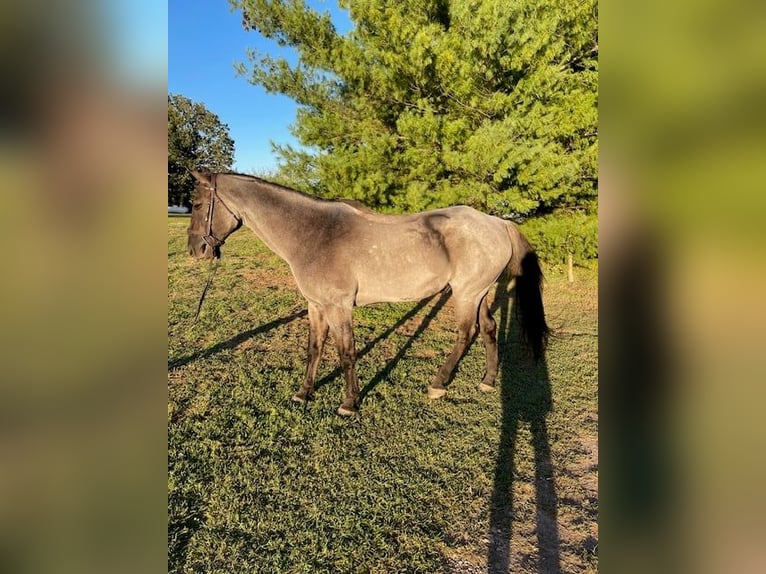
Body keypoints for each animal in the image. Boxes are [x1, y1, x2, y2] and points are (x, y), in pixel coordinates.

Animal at [186, 171, 549, 416]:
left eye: (197, 203)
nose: (195, 250)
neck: (314, 234)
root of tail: (497, 222)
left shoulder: (339, 307)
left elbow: (345, 352)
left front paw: (349, 402)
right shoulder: (315, 306)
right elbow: (314, 348)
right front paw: (304, 393)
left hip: (466, 294)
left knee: (466, 333)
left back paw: (438, 384)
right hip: (480, 293)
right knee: (488, 329)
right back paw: (488, 380)